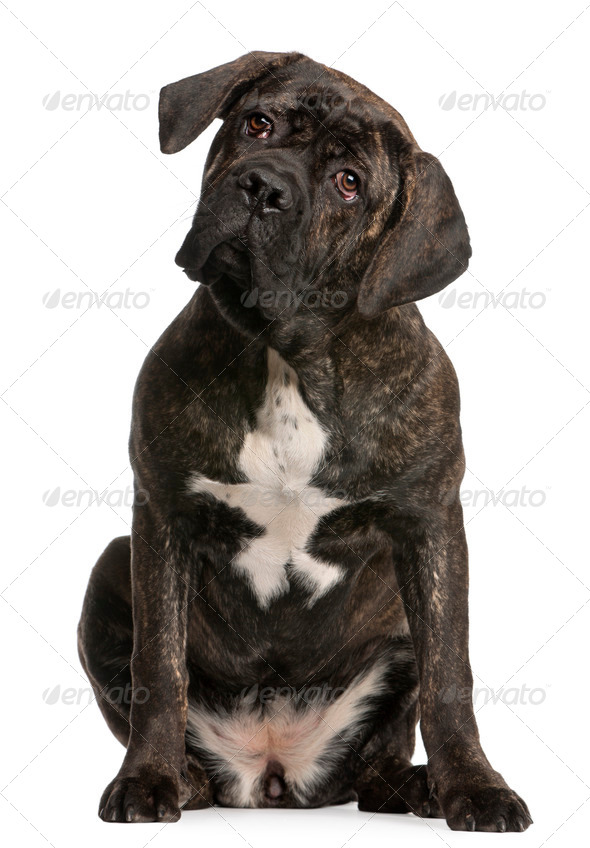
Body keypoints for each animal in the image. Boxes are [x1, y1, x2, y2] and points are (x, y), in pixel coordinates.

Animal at [76, 49, 536, 832]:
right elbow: (158, 667)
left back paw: (414, 786)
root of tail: (273, 770)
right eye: (258, 123)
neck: (288, 355)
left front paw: (475, 790)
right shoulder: (161, 515)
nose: (264, 187)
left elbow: (451, 673)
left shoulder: (431, 524)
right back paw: (188, 778)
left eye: (349, 183)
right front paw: (147, 779)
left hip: (393, 637)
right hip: (112, 563)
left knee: (383, 752)